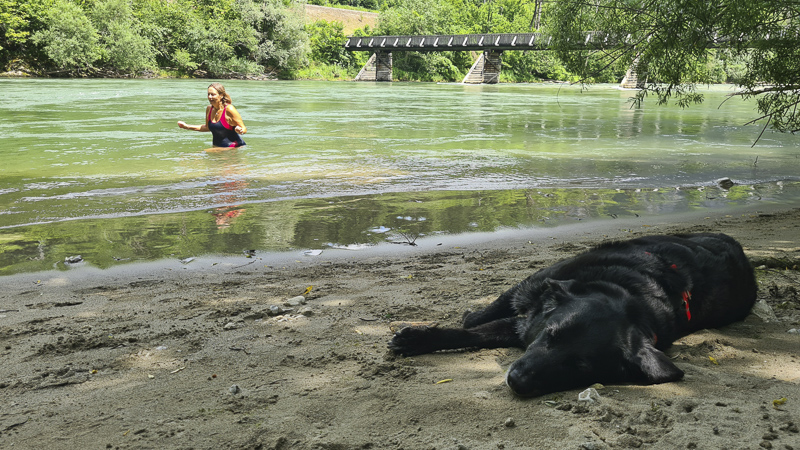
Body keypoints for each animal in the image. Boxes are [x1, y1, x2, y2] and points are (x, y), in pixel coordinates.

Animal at [388, 234, 756, 396]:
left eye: (579, 366)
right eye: (551, 335)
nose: (515, 380)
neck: (627, 293)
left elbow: (479, 332)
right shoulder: (531, 294)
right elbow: (471, 328)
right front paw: (416, 339)